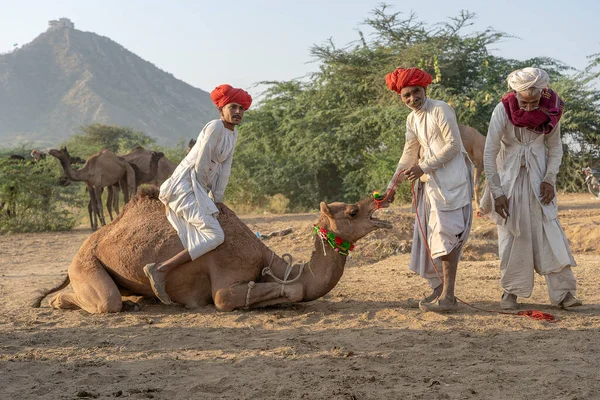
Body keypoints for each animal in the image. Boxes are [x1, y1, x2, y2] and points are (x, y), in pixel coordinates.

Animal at [34, 186, 390, 314]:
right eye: (353, 212)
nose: (380, 199)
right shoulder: (224, 282)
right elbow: (293, 290)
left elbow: (294, 290)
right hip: (86, 264)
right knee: (106, 302)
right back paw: (55, 301)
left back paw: (143, 299)